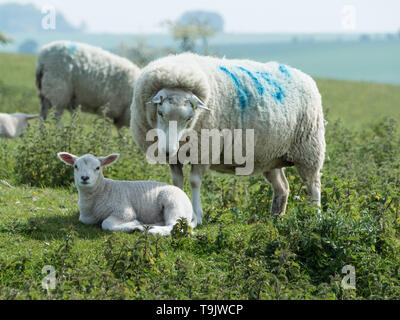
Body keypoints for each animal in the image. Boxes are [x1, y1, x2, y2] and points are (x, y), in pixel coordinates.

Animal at [57, 151, 198, 236]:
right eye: (75, 166)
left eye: (97, 168)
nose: (84, 178)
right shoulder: (86, 218)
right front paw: (136, 224)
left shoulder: (124, 212)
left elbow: (106, 224)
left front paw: (133, 225)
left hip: (174, 204)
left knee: (174, 226)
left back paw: (150, 230)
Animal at [130, 52, 324, 224]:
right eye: (160, 113)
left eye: (189, 118)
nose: (168, 150)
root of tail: (305, 76)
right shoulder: (176, 158)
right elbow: (177, 182)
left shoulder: (204, 150)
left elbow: (194, 182)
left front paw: (196, 216)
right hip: (270, 156)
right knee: (282, 187)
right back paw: (276, 218)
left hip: (308, 149)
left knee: (313, 185)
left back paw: (315, 217)